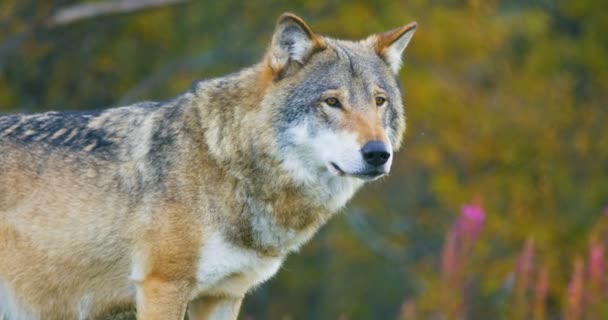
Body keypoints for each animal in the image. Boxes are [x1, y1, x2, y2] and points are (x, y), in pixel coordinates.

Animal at [0, 12, 416, 320]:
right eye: (332, 102)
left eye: (379, 101)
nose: (378, 153)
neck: (224, 162)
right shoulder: (162, 286)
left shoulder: (223, 295)